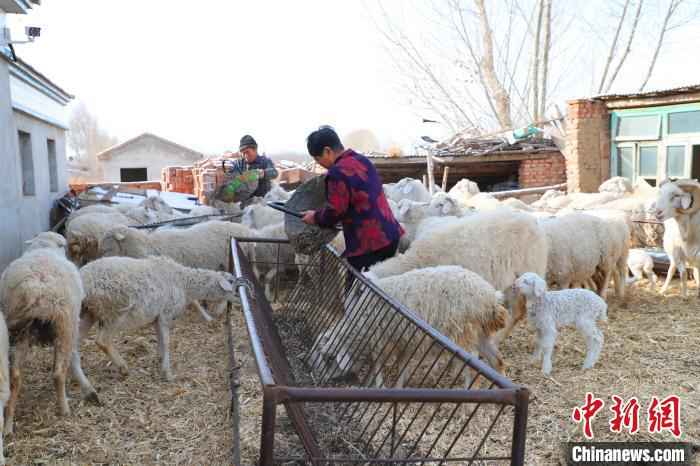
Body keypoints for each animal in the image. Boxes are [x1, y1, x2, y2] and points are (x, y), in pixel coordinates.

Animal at [0, 233, 100, 434]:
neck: (44, 247)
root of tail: (36, 291)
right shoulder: (72, 323)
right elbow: (74, 358)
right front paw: (88, 390)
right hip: (64, 325)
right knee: (59, 373)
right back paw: (64, 409)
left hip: (20, 333)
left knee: (15, 378)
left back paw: (8, 425)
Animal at [80, 255, 246, 382]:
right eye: (231, 282)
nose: (240, 297)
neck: (184, 282)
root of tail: (85, 281)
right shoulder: (166, 314)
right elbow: (166, 342)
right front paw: (167, 373)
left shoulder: (157, 316)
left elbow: (160, 339)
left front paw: (159, 360)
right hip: (113, 313)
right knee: (102, 340)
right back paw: (123, 367)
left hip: (88, 313)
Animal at [312, 266, 508, 390]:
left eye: (328, 359)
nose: (317, 378)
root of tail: (489, 298)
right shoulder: (405, 340)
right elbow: (402, 365)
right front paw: (397, 385)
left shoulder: (381, 340)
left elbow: (378, 364)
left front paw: (378, 385)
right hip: (480, 332)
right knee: (497, 360)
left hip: (462, 333)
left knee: (473, 366)